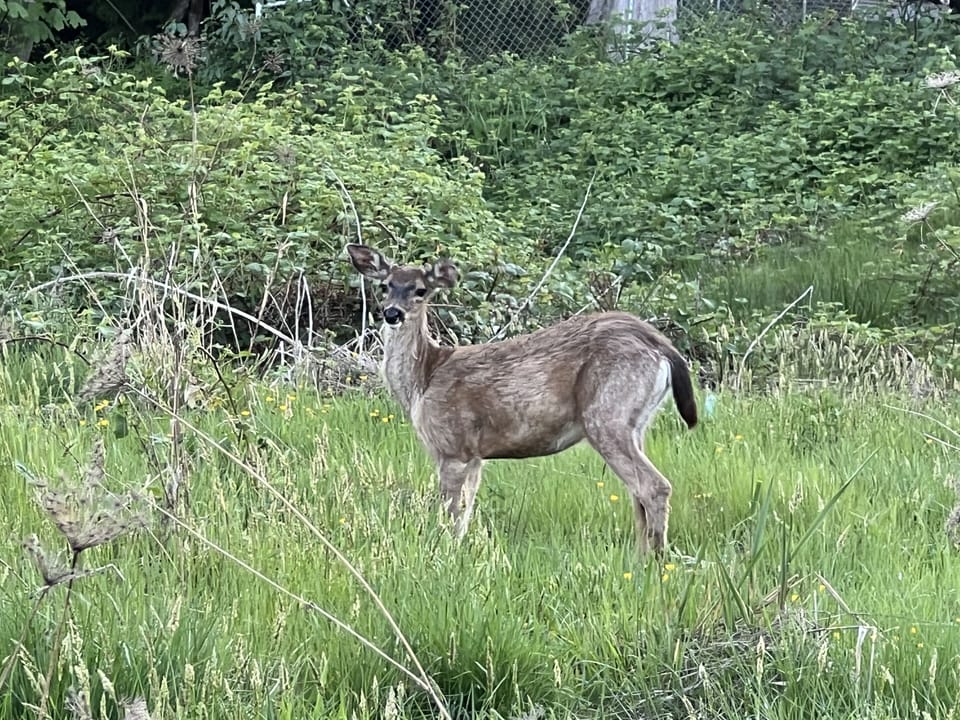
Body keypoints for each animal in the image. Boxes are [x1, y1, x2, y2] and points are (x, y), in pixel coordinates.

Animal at [346, 243, 698, 555]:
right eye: (385, 285)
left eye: (420, 290)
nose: (392, 313)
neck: (423, 380)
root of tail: (660, 345)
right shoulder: (475, 455)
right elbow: (466, 513)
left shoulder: (452, 446)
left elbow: (450, 513)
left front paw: (440, 552)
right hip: (636, 423)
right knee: (637, 492)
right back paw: (640, 558)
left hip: (606, 414)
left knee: (653, 486)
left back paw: (655, 562)